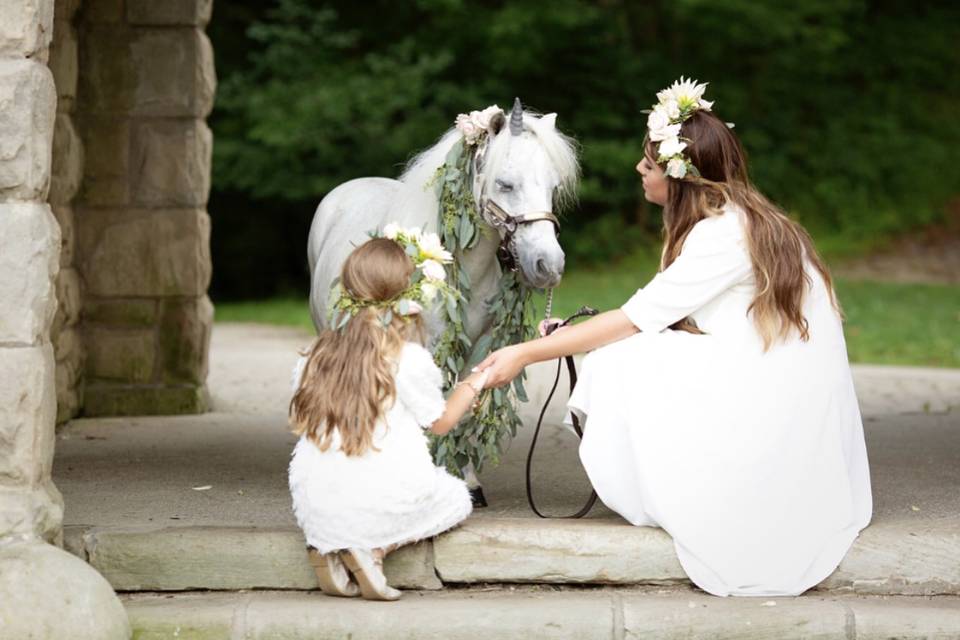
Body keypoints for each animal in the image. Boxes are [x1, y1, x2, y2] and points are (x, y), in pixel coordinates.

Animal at [308, 101, 576, 500]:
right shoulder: (428, 346)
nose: (549, 265)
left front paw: (467, 481)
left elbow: (459, 405)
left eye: (553, 187)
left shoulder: (480, 348)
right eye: (505, 184)